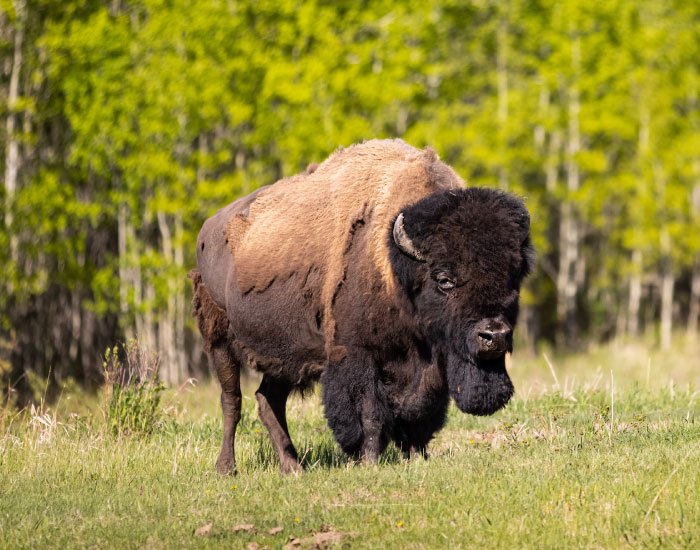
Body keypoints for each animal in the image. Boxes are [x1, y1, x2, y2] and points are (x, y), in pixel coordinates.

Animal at [190, 139, 534, 474]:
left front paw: (416, 459)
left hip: (285, 354)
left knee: (268, 400)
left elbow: (419, 414)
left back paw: (294, 467)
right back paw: (227, 468)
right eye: (444, 279)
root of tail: (208, 229)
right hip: (220, 341)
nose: (493, 335)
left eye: (513, 276)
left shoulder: (431, 365)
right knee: (232, 400)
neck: (394, 265)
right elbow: (369, 415)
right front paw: (368, 462)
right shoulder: (357, 355)